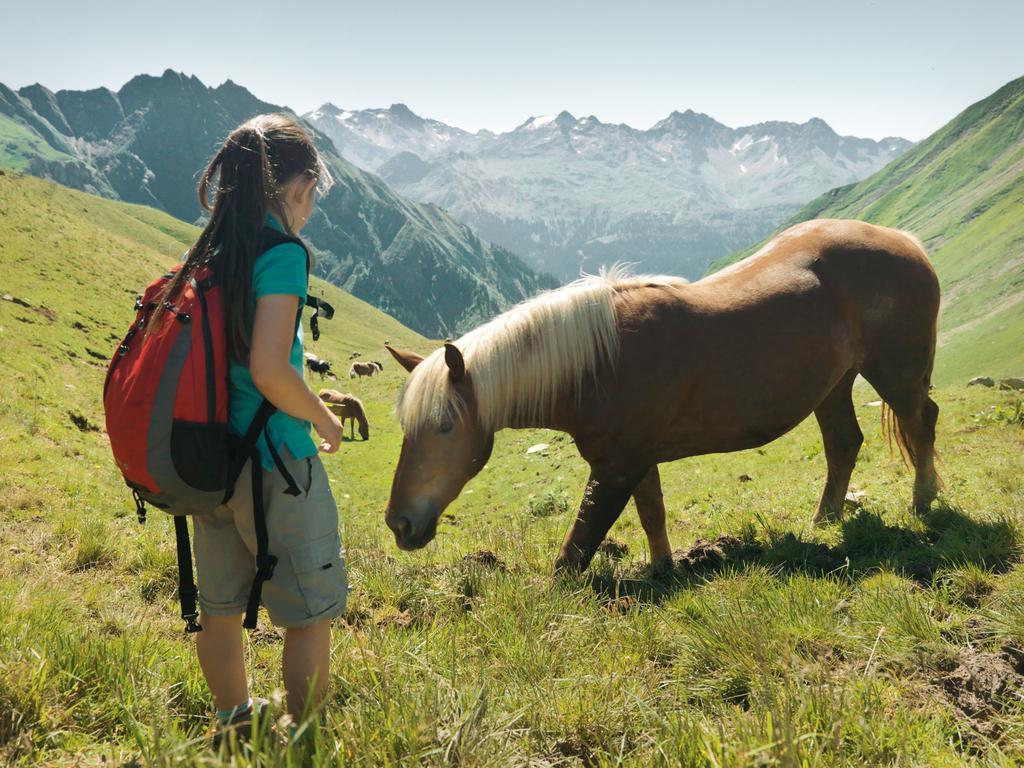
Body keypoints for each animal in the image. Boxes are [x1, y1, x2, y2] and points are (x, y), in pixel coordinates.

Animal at [382, 219, 937, 573]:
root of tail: (905, 241)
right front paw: (665, 569)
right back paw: (825, 521)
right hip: (835, 384)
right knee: (844, 443)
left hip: (896, 372)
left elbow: (576, 550)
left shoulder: (615, 469)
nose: (399, 524)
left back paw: (924, 500)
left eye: (443, 426)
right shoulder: (636, 460)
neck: (596, 363)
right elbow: (652, 513)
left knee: (920, 421)